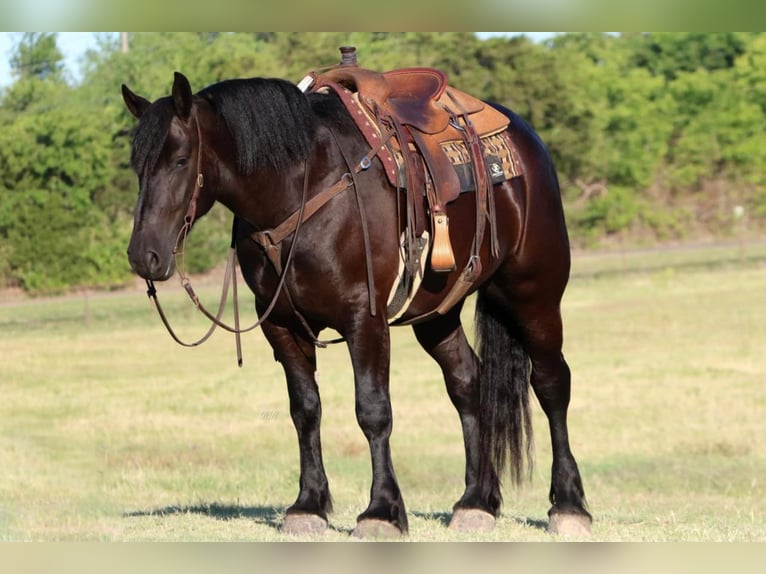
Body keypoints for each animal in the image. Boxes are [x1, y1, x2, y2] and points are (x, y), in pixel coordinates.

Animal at [121, 67, 592, 540]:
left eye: (181, 161)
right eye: (136, 166)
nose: (144, 255)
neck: (303, 189)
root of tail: (526, 141)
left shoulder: (364, 321)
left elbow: (373, 411)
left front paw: (381, 511)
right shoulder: (280, 324)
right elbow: (305, 410)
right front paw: (309, 505)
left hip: (534, 295)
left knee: (551, 384)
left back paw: (569, 506)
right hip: (437, 315)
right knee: (466, 382)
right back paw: (476, 502)